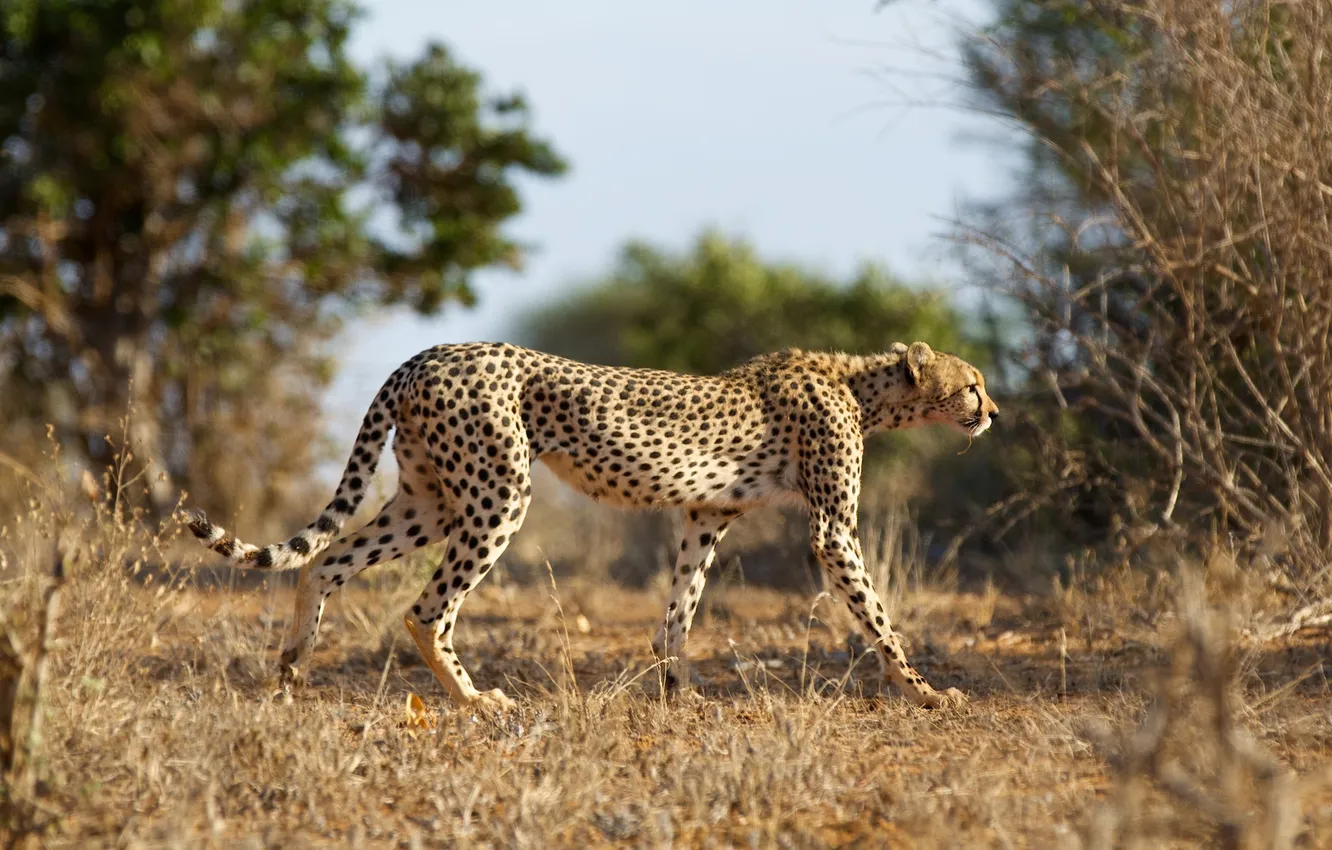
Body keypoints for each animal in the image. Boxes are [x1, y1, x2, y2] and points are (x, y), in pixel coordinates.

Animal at [184, 340, 998, 711]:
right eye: (972, 384)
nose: (992, 411)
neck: (861, 387)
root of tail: (427, 353)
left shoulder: (705, 514)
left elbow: (679, 612)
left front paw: (678, 689)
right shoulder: (831, 529)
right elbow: (879, 616)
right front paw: (927, 691)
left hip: (429, 500)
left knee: (326, 560)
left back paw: (292, 667)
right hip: (499, 493)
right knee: (426, 607)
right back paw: (475, 701)